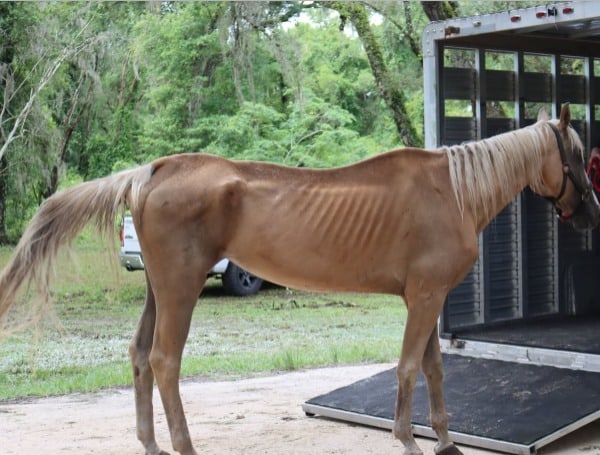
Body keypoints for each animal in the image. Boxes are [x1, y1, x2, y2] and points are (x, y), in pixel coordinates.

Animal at [0, 104, 596, 455]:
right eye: (576, 156)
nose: (591, 214)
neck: (452, 192)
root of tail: (152, 171)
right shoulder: (425, 297)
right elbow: (409, 369)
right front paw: (408, 441)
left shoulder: (429, 299)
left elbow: (433, 368)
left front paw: (446, 442)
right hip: (180, 290)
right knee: (165, 361)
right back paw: (184, 446)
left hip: (156, 290)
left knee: (140, 355)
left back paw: (150, 444)